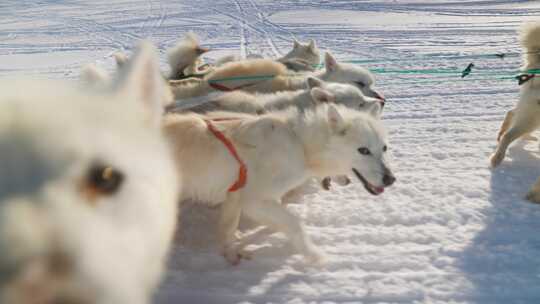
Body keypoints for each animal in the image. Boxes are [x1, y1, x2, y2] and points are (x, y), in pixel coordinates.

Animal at [162, 102, 394, 264]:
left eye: (384, 148)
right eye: (363, 150)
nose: (391, 179)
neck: (300, 145)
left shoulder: (237, 198)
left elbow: (230, 229)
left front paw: (233, 250)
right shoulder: (254, 200)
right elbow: (294, 223)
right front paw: (314, 255)